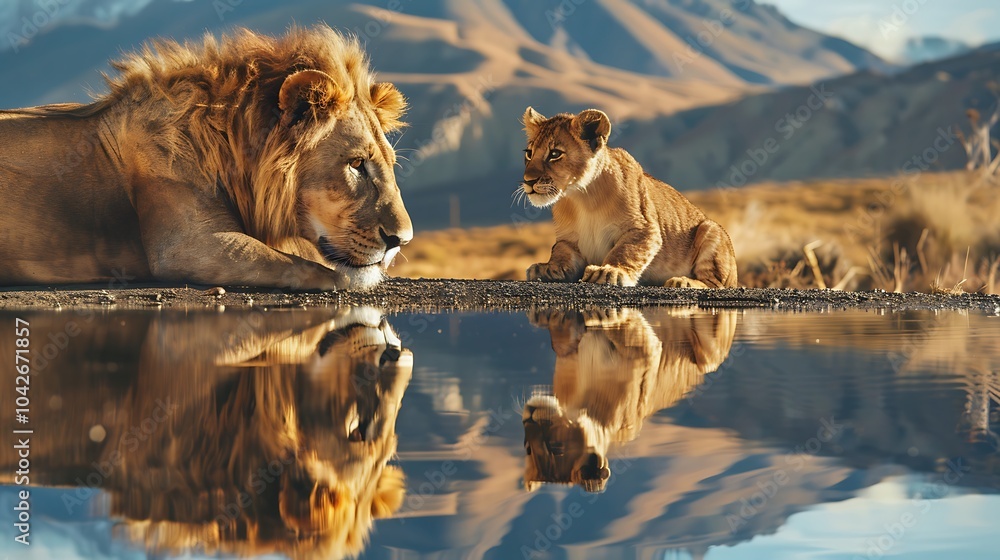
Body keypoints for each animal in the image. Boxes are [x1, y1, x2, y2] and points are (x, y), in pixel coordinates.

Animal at [520, 107, 737, 288]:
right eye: (529, 153)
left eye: (555, 154)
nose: (528, 181)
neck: (581, 197)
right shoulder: (568, 239)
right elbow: (560, 252)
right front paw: (547, 268)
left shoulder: (645, 228)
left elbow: (626, 251)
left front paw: (608, 271)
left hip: (711, 228)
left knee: (715, 283)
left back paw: (682, 282)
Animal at [522, 307, 737, 492]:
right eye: (528, 448)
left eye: (556, 447)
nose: (529, 416)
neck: (585, 403)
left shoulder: (646, 352)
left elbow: (626, 325)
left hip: (708, 356)